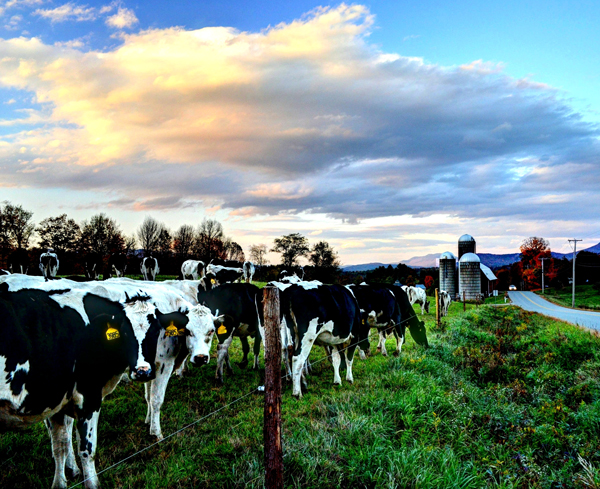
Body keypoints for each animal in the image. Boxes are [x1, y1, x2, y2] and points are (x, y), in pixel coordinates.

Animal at [0, 282, 166, 488]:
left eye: (155, 331)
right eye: (126, 332)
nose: (143, 371)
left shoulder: (56, 402)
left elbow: (59, 446)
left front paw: (60, 483)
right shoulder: (89, 398)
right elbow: (87, 451)